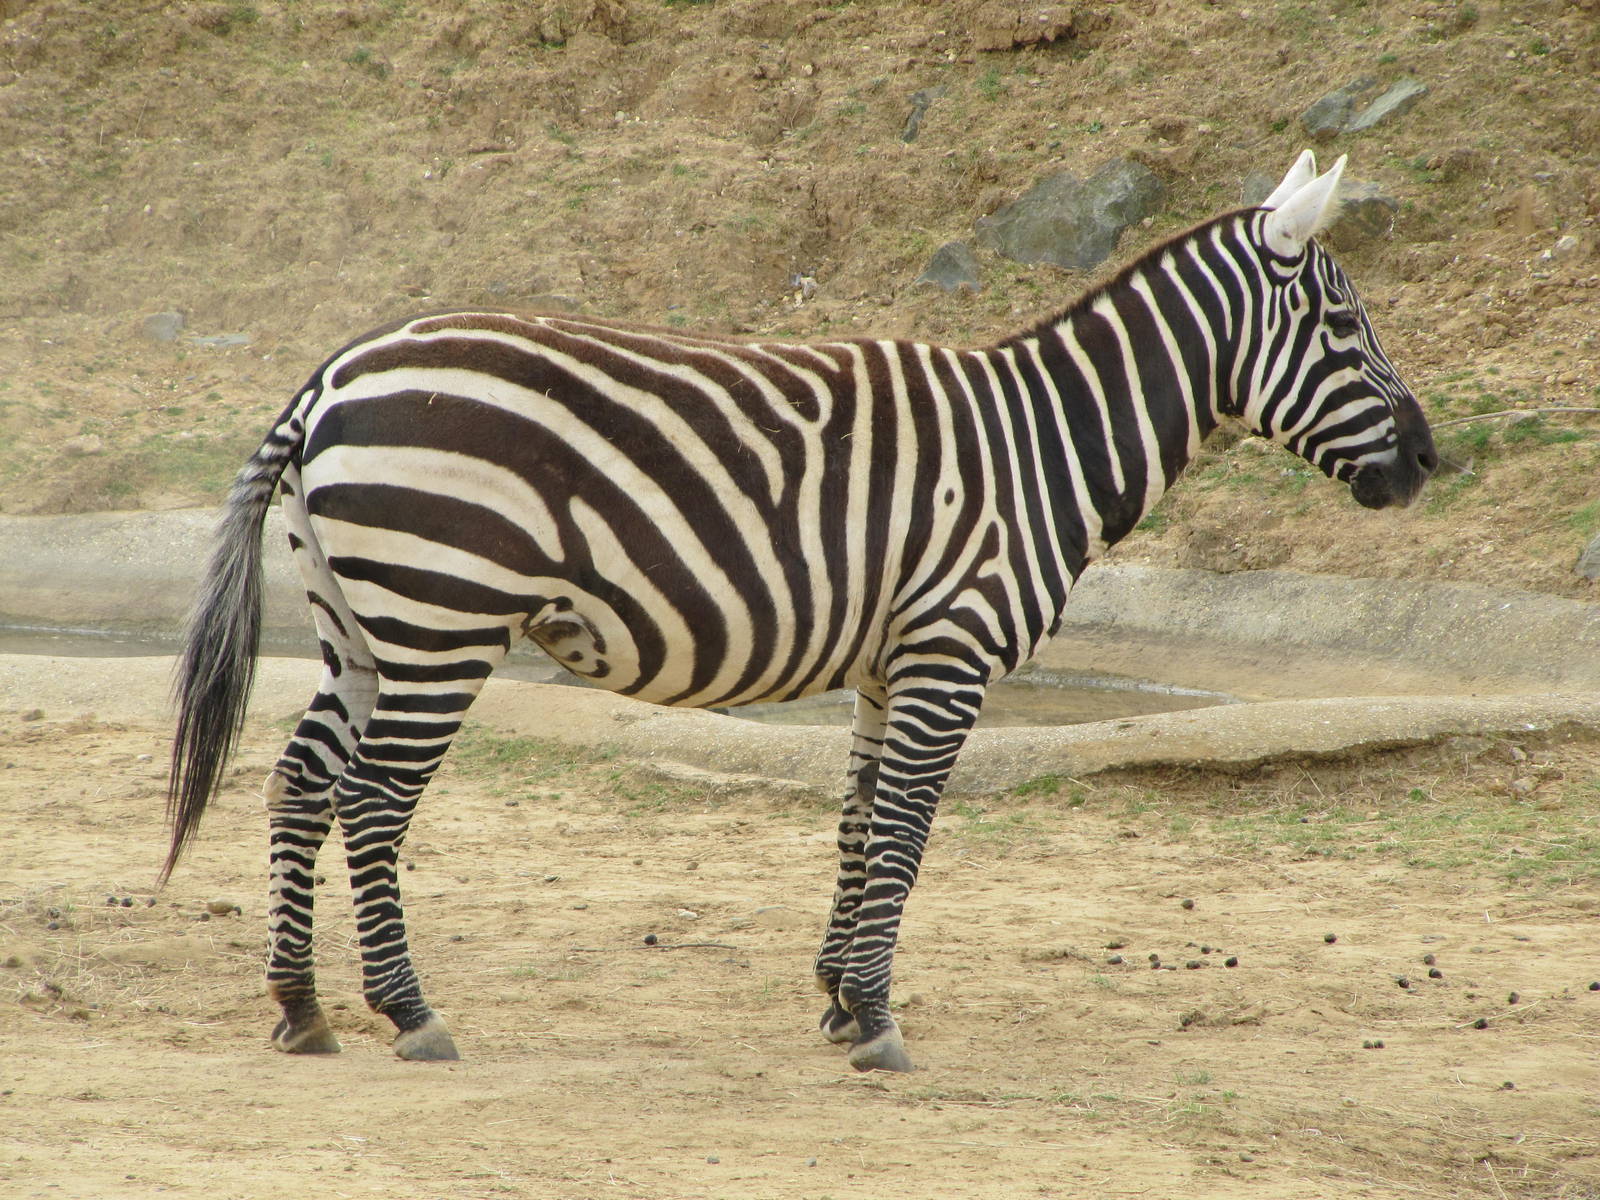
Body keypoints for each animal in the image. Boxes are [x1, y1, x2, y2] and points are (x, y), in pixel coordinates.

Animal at [165, 151, 1436, 1073]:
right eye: (1345, 328)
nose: (1428, 461)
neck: (1041, 447)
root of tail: (334, 374)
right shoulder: (949, 654)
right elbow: (910, 830)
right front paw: (875, 1021)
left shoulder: (886, 664)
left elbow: (859, 823)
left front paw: (833, 1001)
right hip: (443, 615)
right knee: (373, 800)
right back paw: (410, 1013)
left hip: (359, 621)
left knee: (300, 780)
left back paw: (299, 1006)